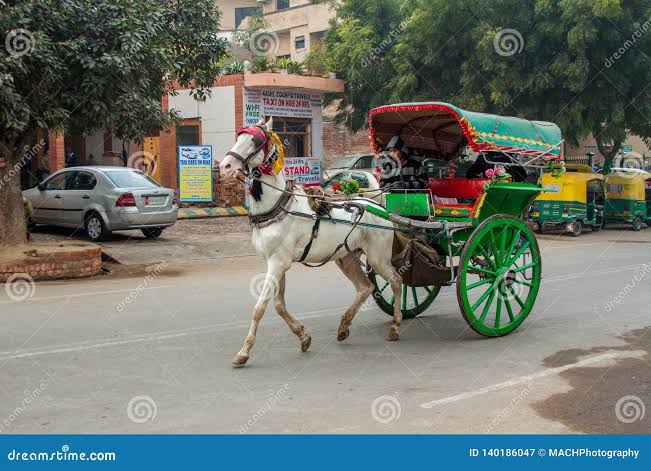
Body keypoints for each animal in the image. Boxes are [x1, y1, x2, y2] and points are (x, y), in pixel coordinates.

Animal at [219, 117, 404, 366]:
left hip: (378, 256)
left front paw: (244, 351)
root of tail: (379, 207)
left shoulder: (277, 263)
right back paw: (344, 326)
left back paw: (395, 326)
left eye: (255, 141)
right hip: (346, 258)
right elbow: (279, 305)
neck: (278, 205)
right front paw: (303, 336)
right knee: (366, 287)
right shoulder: (277, 263)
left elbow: (260, 307)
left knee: (396, 281)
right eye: (239, 136)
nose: (225, 167)